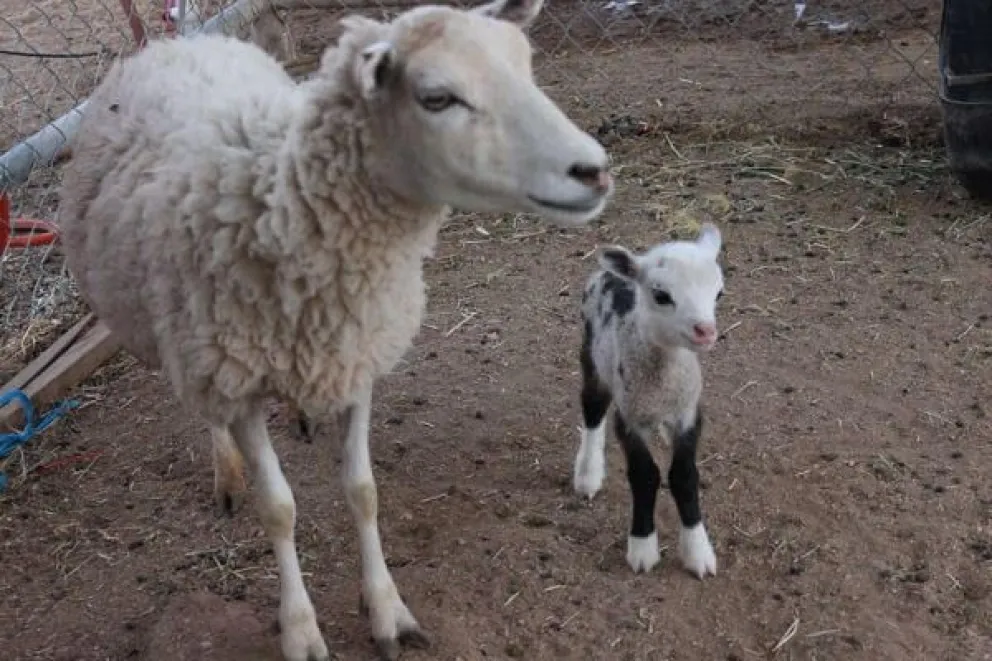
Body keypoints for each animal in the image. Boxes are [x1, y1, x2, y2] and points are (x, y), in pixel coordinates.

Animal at [55, 0, 614, 658]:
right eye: (437, 98)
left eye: (526, 66)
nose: (594, 171)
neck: (278, 207)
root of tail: (173, 44)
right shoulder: (237, 378)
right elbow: (279, 509)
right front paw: (300, 628)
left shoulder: (355, 354)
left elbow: (362, 490)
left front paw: (386, 609)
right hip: (184, 340)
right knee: (205, 409)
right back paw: (226, 471)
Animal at [571, 223, 724, 579]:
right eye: (661, 296)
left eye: (719, 293)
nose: (706, 331)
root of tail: (610, 273)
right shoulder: (632, 417)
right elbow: (644, 475)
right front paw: (642, 547)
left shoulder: (688, 413)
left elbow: (684, 476)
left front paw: (698, 551)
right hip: (592, 355)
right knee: (593, 410)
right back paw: (588, 474)